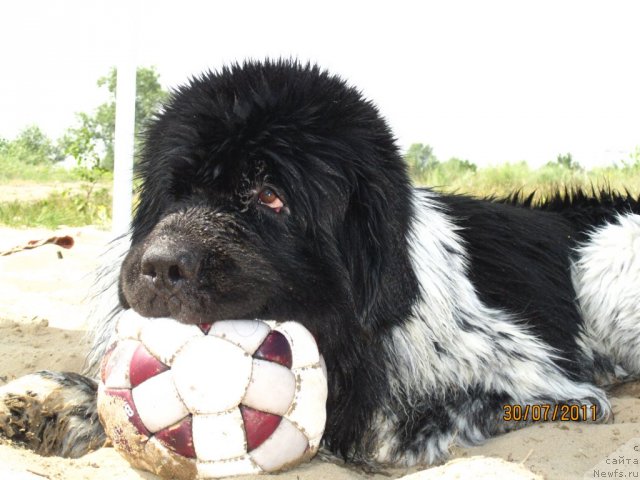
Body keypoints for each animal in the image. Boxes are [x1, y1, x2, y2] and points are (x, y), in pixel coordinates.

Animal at [1, 61, 640, 468]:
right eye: (175, 192)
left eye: (270, 197)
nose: (158, 267)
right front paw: (52, 401)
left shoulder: (540, 382)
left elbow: (379, 424)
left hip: (608, 254)